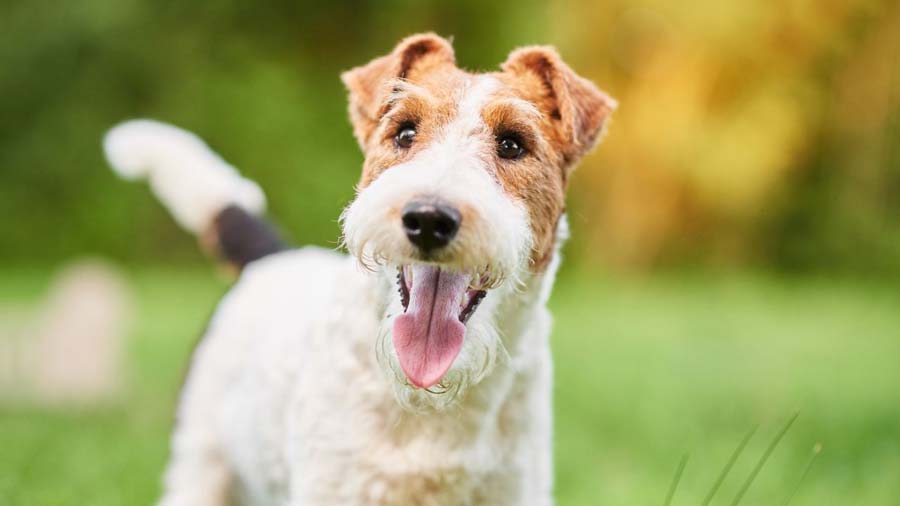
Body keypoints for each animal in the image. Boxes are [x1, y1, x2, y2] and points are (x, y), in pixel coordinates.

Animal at [103, 33, 612, 504]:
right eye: (404, 132)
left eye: (512, 144)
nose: (429, 219)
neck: (430, 401)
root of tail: (270, 258)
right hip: (200, 462)